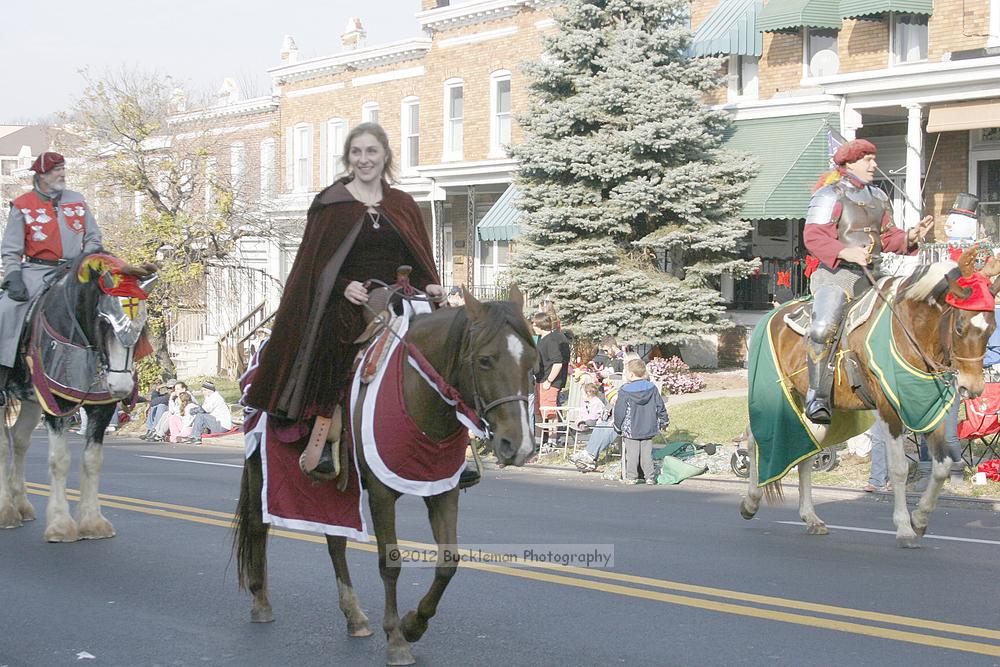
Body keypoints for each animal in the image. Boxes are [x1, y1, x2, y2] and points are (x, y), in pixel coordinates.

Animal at [232, 286, 540, 664]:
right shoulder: (381, 494)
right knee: (258, 526)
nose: (520, 445)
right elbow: (390, 562)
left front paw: (414, 625)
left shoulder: (442, 489)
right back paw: (261, 602)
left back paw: (354, 615)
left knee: (335, 540)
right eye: (485, 360)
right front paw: (396, 638)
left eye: (533, 363)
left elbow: (448, 562)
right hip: (259, 466)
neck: (419, 395)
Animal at [740, 248, 996, 552]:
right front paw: (905, 528)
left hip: (813, 408)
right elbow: (898, 468)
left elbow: (942, 466)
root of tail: (771, 316)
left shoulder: (928, 409)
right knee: (755, 438)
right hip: (773, 396)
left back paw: (811, 517)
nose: (973, 387)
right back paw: (751, 501)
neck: (909, 330)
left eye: (991, 328)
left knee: (807, 450)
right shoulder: (890, 410)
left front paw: (920, 518)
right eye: (959, 327)